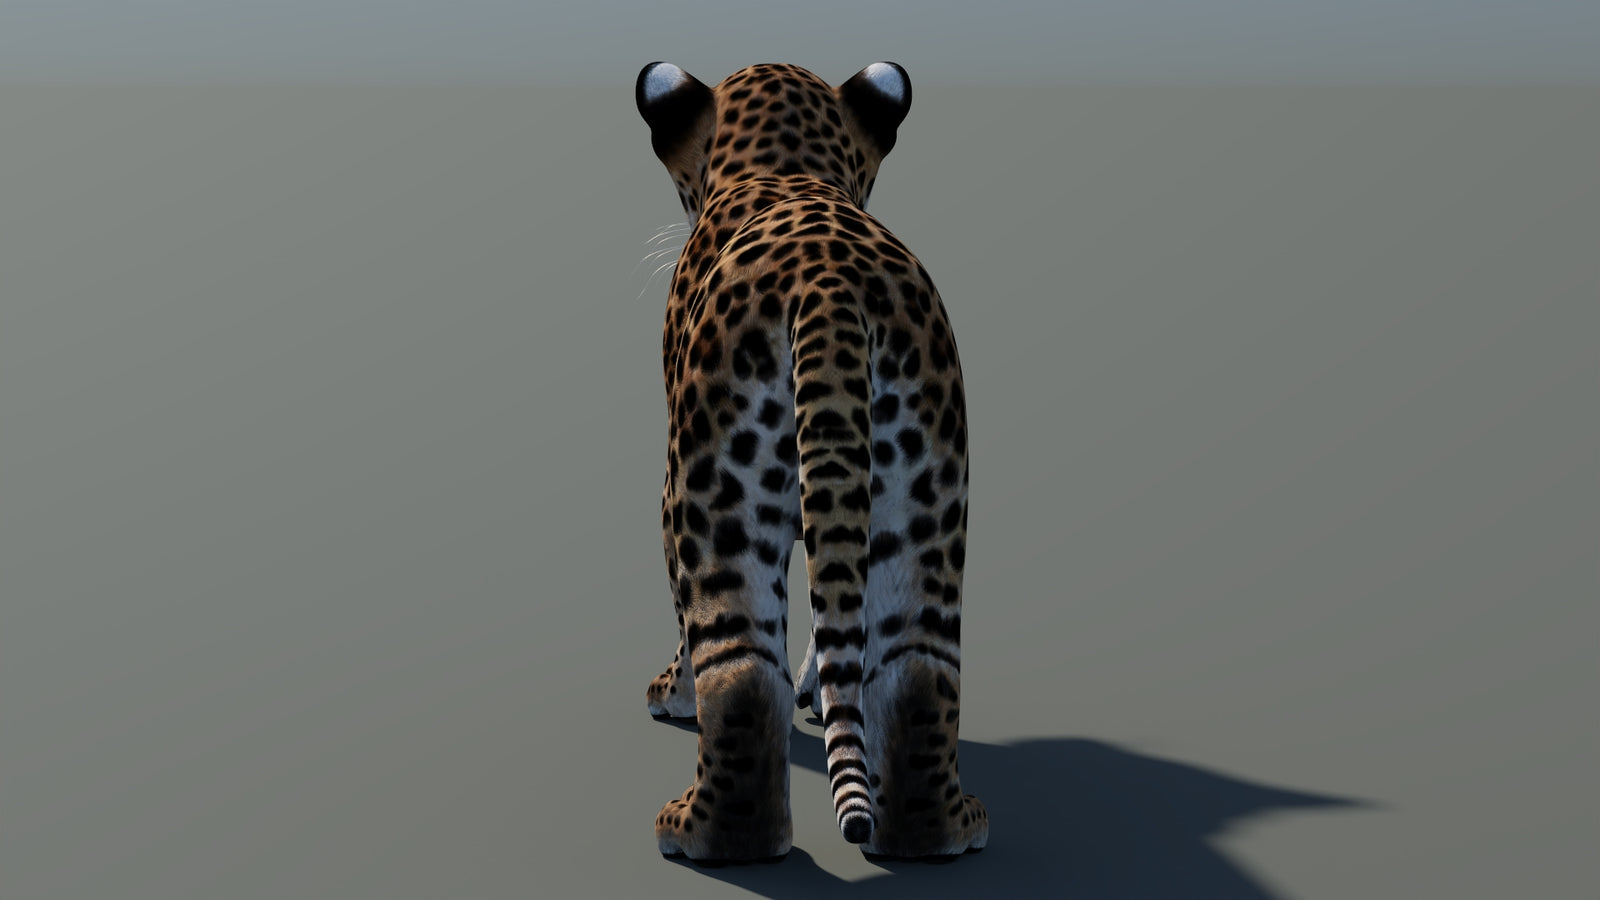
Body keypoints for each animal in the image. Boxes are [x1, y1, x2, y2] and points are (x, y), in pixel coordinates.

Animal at [636, 61, 987, 863]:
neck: (787, 166)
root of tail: (831, 291)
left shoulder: (674, 478)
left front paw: (673, 692)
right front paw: (822, 692)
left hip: (715, 497)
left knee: (737, 665)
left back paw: (702, 834)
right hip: (926, 505)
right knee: (920, 665)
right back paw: (938, 834)